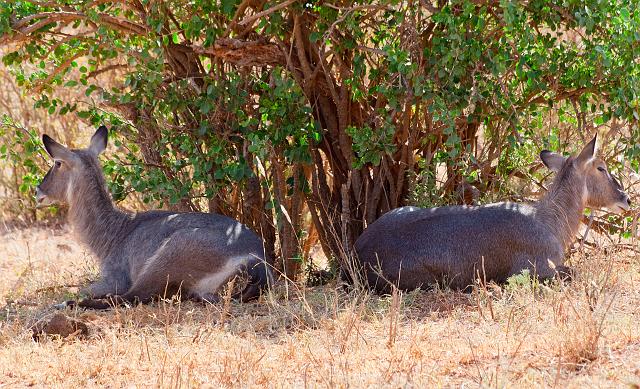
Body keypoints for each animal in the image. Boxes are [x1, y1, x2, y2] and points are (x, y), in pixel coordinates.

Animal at [37, 127, 272, 310]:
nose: (38, 191)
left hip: (166, 257)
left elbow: (83, 290)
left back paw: (65, 304)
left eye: (57, 163)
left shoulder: (114, 279)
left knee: (128, 298)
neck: (117, 230)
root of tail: (256, 258)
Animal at [356, 134, 632, 292]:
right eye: (601, 168)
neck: (549, 221)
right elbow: (574, 272)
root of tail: (358, 251)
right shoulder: (536, 270)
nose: (626, 198)